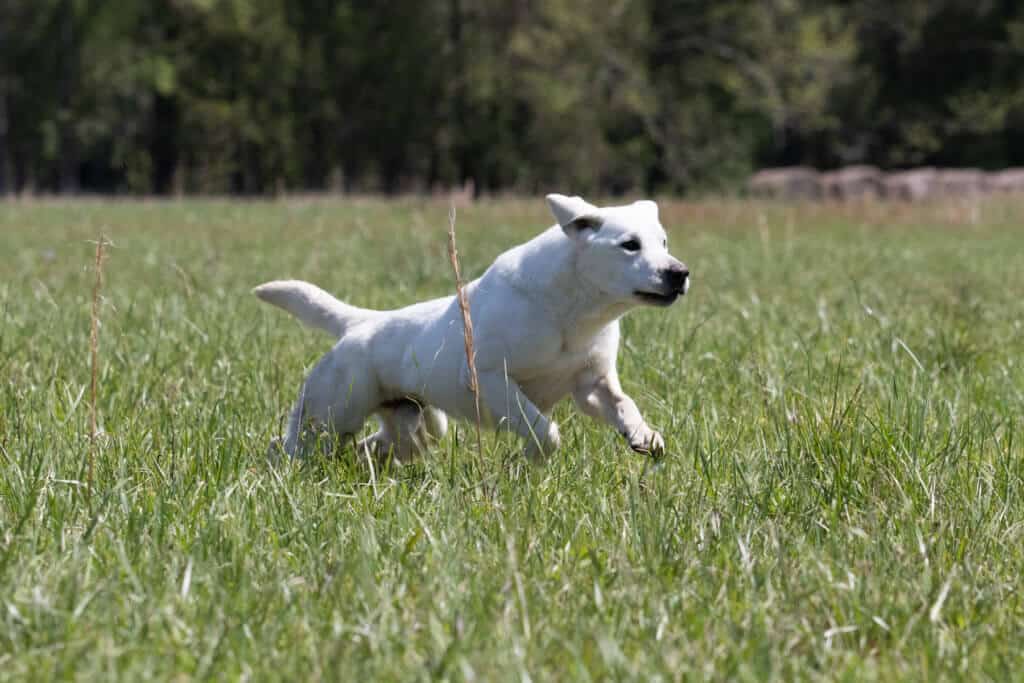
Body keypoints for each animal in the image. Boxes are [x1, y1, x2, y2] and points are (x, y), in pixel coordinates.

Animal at [252, 194, 692, 462]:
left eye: (664, 242)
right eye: (629, 244)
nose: (679, 273)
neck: (573, 311)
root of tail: (361, 323)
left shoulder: (592, 384)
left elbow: (624, 405)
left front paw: (644, 437)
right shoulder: (488, 376)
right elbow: (544, 430)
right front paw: (530, 459)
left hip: (418, 427)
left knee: (370, 447)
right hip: (328, 417)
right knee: (285, 445)